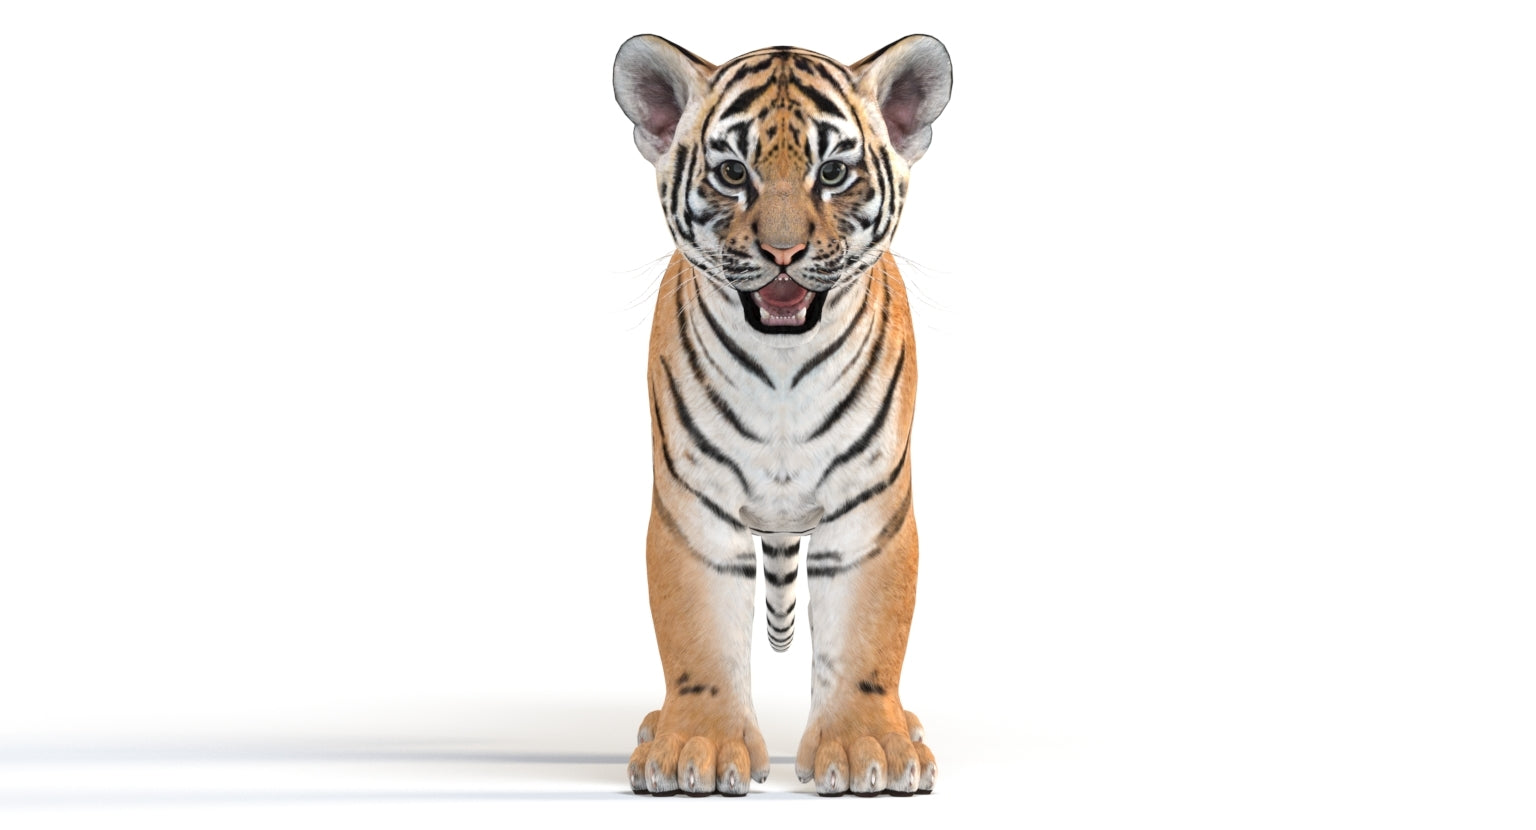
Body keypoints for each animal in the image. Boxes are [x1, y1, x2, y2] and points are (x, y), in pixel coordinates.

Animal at [612, 34, 952, 797]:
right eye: (733, 173)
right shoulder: (695, 512)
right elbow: (698, 637)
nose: (783, 254)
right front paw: (696, 749)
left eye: (833, 172)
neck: (783, 367)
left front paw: (868, 750)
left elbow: (867, 638)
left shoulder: (869, 514)